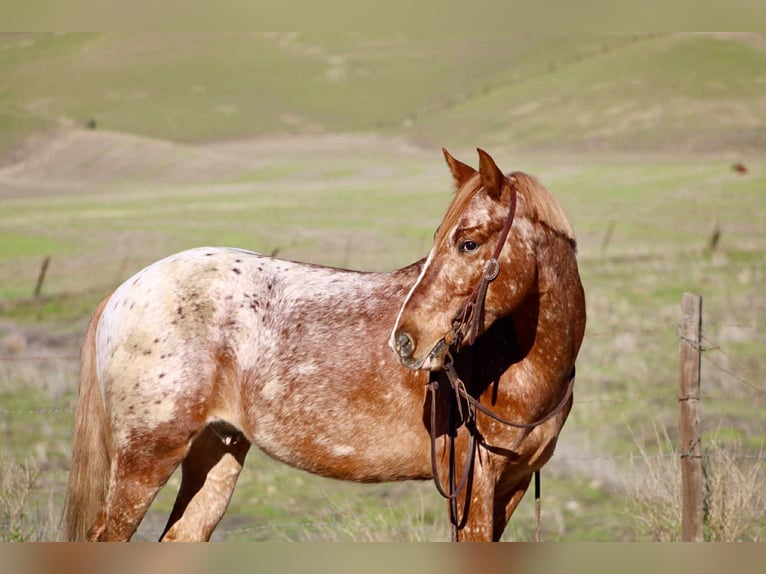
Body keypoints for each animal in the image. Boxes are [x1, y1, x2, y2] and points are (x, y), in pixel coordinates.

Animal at [63, 148, 585, 542]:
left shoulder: (509, 488)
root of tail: (124, 291)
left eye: (469, 243)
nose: (406, 339)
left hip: (215, 454)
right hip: (144, 461)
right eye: (445, 239)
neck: (515, 365)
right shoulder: (473, 489)